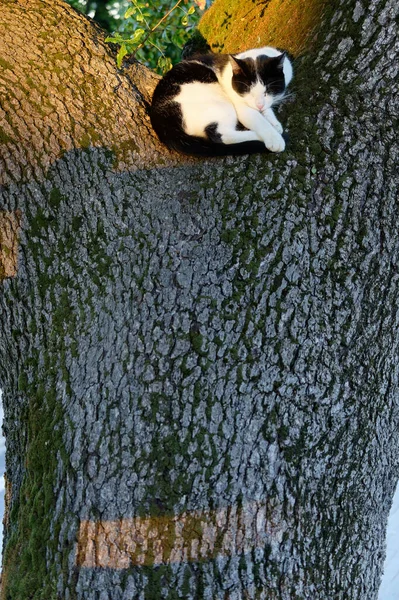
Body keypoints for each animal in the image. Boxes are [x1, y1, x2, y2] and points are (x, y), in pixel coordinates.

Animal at [150, 46, 294, 157]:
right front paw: (274, 137)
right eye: (247, 90)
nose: (259, 105)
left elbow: (267, 109)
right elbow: (258, 120)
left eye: (267, 91)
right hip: (219, 104)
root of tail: (161, 121)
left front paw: (274, 122)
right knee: (220, 136)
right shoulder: (241, 106)